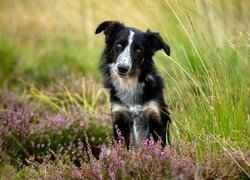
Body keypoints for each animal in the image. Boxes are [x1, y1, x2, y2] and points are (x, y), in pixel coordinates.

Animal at [95, 20, 172, 148]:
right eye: (119, 45)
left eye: (138, 50)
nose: (122, 68)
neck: (130, 84)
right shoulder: (119, 119)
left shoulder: (156, 119)